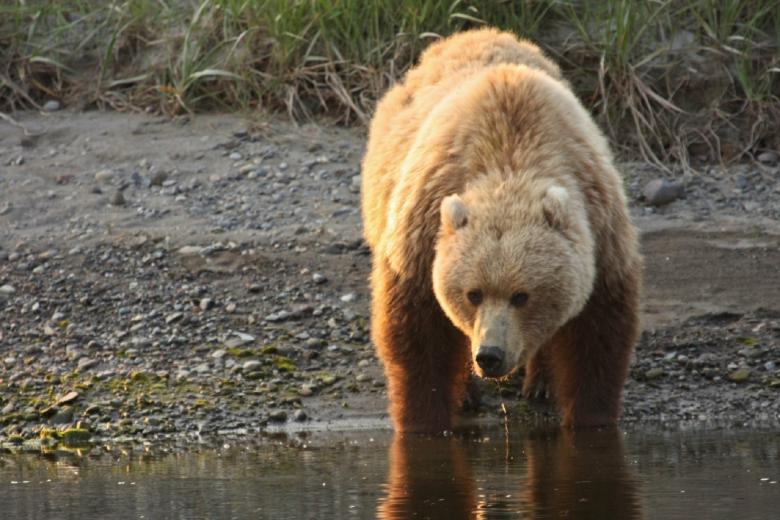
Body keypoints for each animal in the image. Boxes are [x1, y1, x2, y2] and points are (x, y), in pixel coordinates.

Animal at [361, 28, 641, 433]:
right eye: (473, 293)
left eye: (522, 295)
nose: (490, 355)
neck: (510, 161)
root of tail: (476, 32)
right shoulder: (422, 235)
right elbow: (418, 333)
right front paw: (423, 419)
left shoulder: (600, 231)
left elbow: (596, 334)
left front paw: (591, 417)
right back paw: (467, 392)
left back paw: (540, 383)